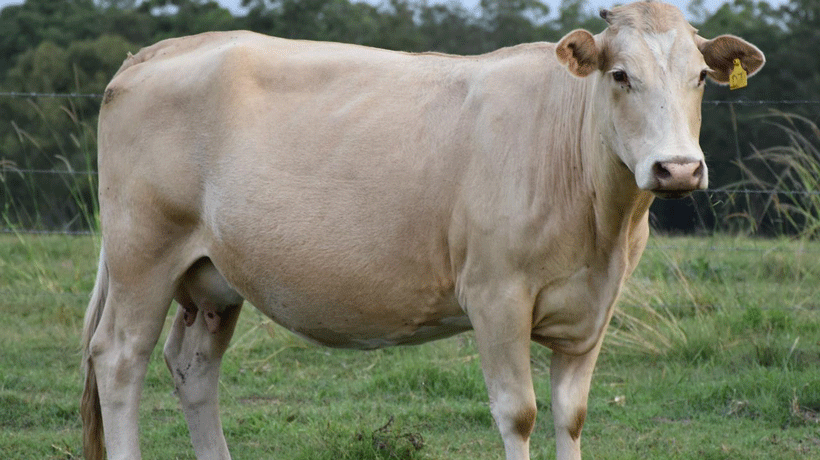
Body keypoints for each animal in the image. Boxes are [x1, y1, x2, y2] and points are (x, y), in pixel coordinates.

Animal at [81, 1, 764, 459]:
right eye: (620, 75)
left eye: (700, 77)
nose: (678, 168)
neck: (601, 228)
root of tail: (152, 53)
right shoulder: (495, 294)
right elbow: (519, 414)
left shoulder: (593, 306)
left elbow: (571, 416)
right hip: (143, 253)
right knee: (119, 359)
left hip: (212, 277)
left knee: (193, 366)